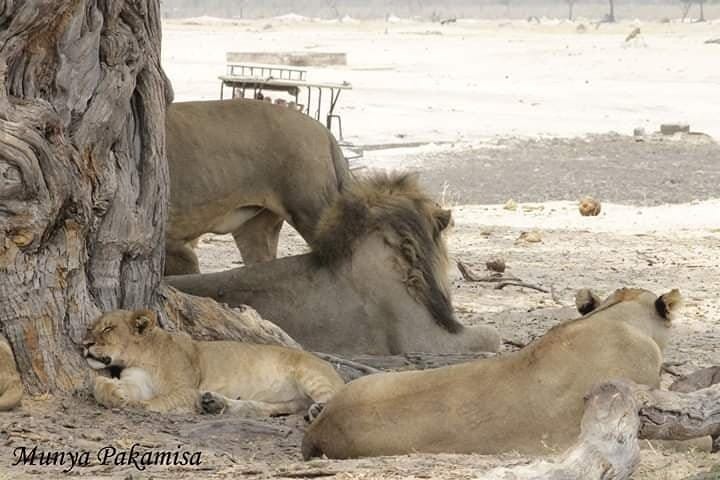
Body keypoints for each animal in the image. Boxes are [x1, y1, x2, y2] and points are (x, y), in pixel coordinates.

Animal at [82, 309, 344, 417]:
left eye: (108, 328)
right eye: (90, 327)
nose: (84, 343)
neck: (141, 356)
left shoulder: (187, 388)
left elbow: (159, 400)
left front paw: (138, 405)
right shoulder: (138, 379)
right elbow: (101, 385)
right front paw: (114, 393)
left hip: (311, 375)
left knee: (332, 397)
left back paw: (318, 410)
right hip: (285, 401)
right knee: (259, 407)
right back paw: (214, 404)